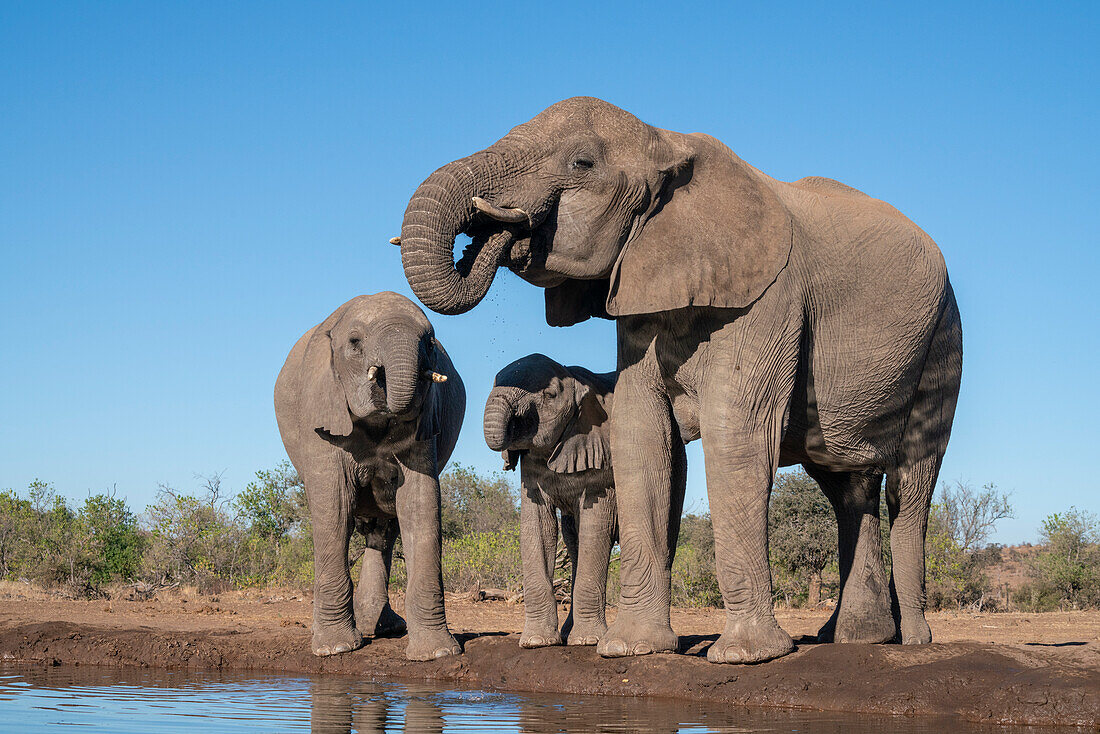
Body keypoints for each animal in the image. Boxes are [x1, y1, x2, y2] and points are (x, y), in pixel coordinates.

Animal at [277, 290, 466, 660]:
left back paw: (383, 629)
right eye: (354, 343)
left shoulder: (426, 422)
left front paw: (436, 654)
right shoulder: (320, 410)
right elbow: (335, 505)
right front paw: (335, 649)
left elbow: (419, 503)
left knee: (384, 529)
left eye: (430, 344)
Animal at [484, 356, 620, 647]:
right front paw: (537, 642)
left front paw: (588, 641)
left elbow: (596, 526)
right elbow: (537, 526)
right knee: (573, 540)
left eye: (549, 395)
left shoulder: (603, 452)